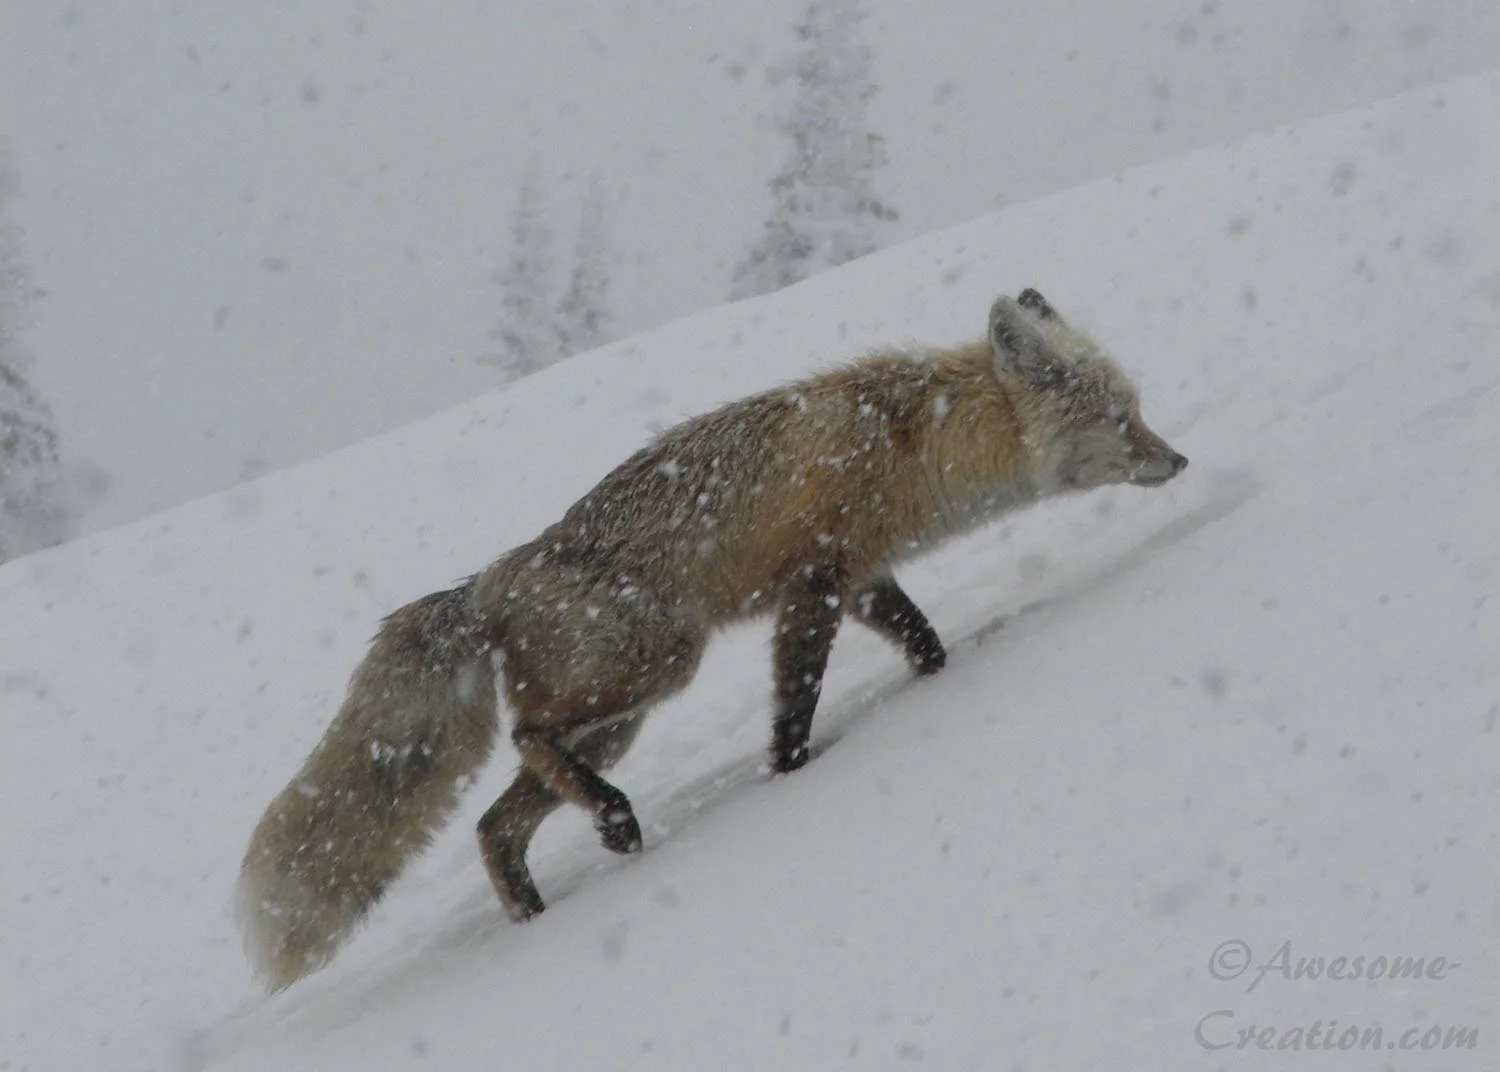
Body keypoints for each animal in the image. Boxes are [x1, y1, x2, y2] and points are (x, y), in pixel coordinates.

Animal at [235, 289, 1188, 991]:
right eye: (1121, 416)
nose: (1177, 460)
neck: (914, 437)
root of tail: (486, 582)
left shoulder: (863, 581)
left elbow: (925, 643)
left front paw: (933, 684)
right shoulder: (812, 586)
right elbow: (795, 705)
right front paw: (792, 776)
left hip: (617, 720)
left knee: (493, 825)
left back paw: (540, 915)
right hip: (653, 667)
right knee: (528, 739)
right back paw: (614, 821)